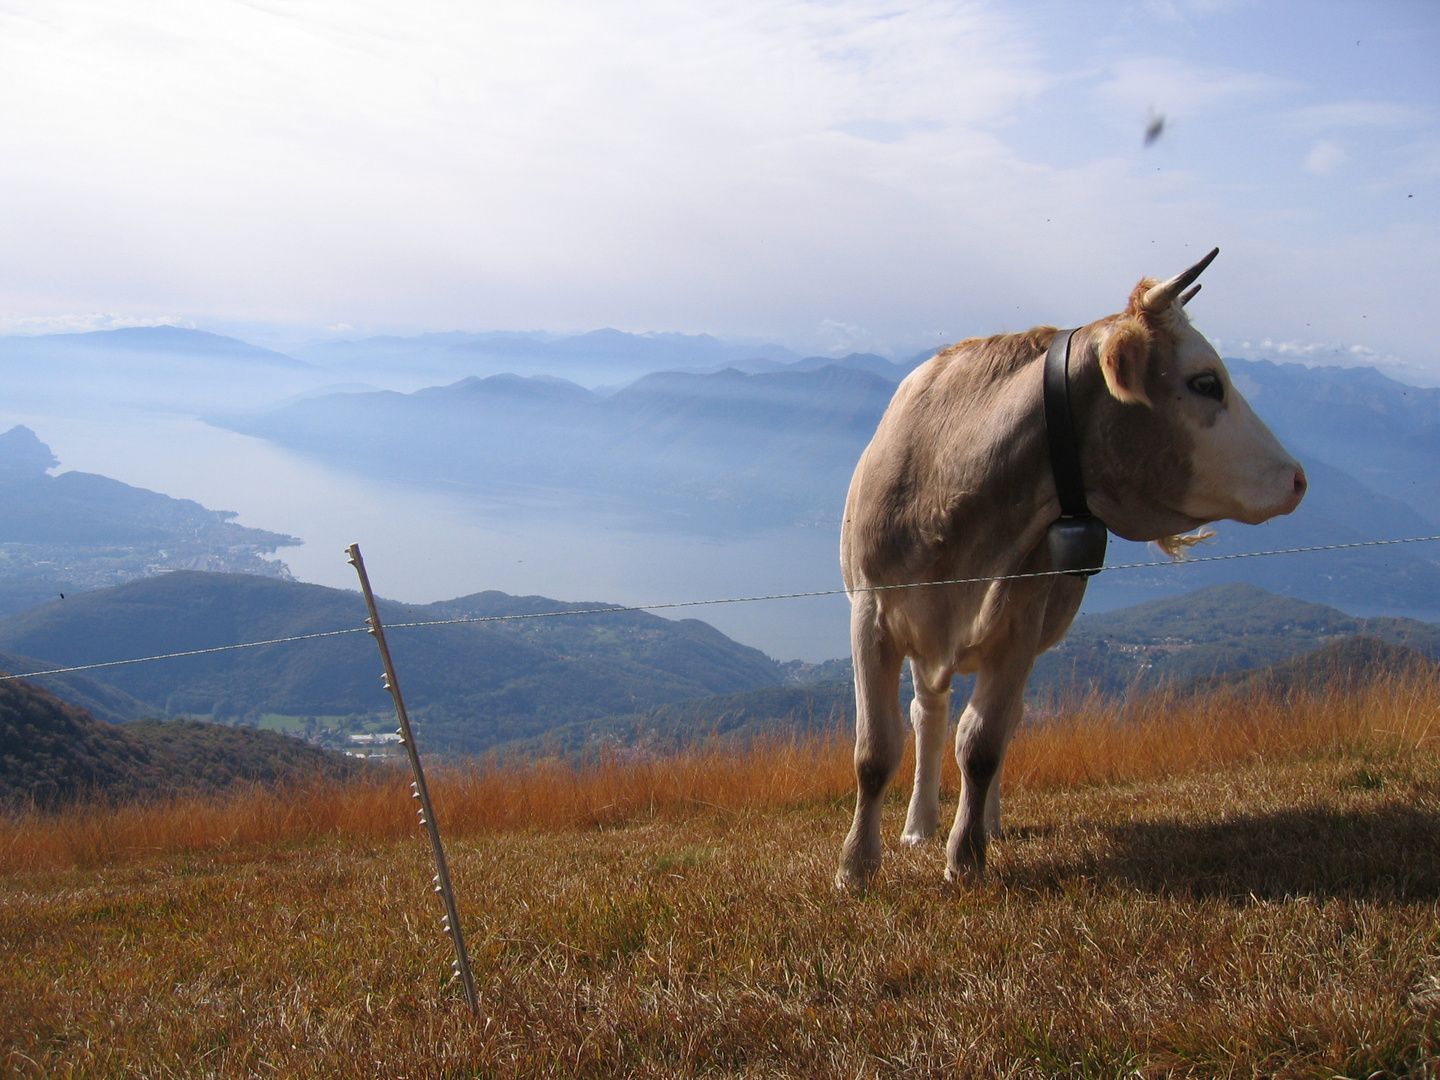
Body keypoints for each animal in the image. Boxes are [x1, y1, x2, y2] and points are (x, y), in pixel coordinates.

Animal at [835, 252, 1307, 887]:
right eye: (1205, 382)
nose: (1297, 478)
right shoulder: (872, 614)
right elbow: (875, 751)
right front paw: (856, 867)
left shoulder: (1019, 623)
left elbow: (982, 744)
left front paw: (967, 859)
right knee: (928, 714)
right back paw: (918, 825)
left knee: (997, 723)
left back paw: (986, 822)